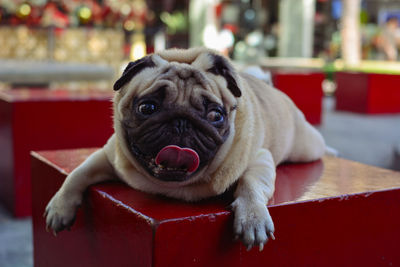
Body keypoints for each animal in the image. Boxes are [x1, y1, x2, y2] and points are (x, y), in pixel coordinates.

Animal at [44, 47, 328, 251]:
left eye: (215, 115)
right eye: (147, 107)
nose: (181, 122)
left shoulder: (259, 158)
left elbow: (251, 185)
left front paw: (253, 217)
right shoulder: (109, 155)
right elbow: (77, 174)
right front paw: (59, 207)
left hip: (306, 146)